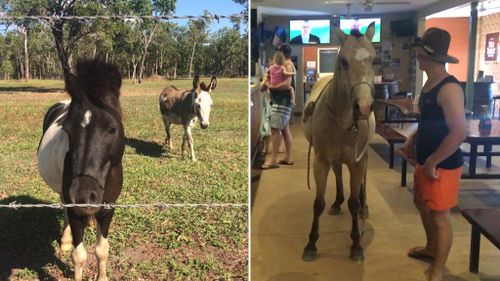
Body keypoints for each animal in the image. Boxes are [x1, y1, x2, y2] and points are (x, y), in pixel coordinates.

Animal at [37, 59, 125, 280]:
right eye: (67, 129)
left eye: (113, 128)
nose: (83, 195)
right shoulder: (74, 206)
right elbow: (79, 256)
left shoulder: (109, 207)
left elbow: (102, 250)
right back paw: (66, 240)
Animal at [300, 23, 376, 262]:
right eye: (343, 61)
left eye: (375, 60)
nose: (363, 107)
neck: (344, 122)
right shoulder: (321, 160)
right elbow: (318, 203)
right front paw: (311, 244)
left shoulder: (357, 162)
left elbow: (353, 203)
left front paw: (356, 245)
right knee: (338, 173)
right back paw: (337, 202)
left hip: (363, 157)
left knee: (361, 185)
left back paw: (364, 205)